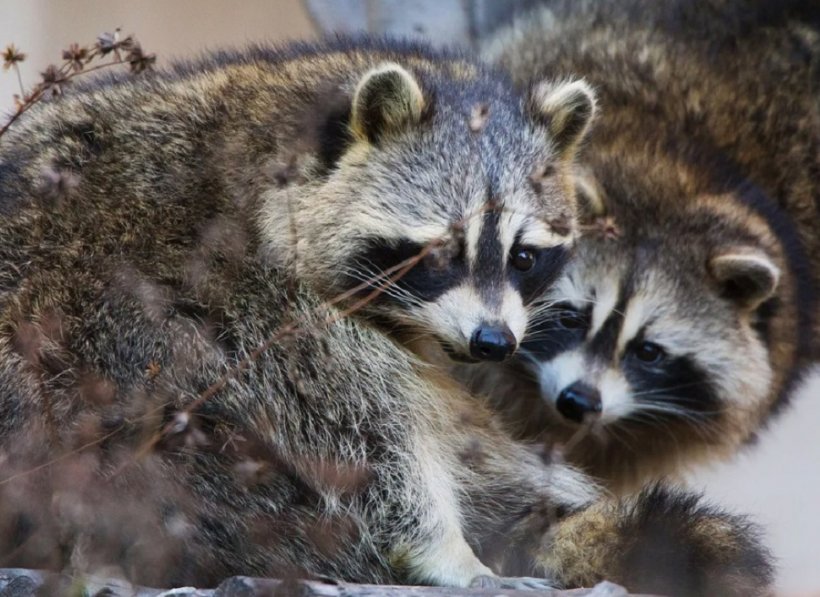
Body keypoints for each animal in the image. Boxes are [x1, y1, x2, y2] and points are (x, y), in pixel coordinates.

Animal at [0, 36, 772, 592]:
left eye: (525, 256)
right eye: (440, 251)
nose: (493, 342)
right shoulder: (257, 301)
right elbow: (359, 438)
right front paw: (444, 547)